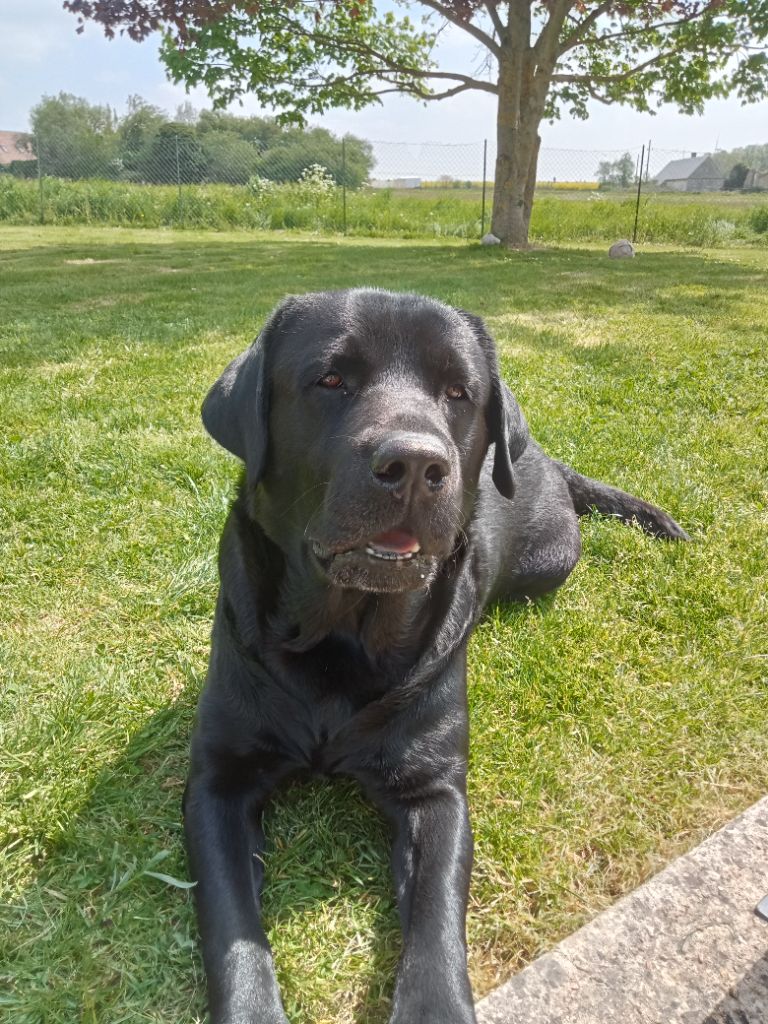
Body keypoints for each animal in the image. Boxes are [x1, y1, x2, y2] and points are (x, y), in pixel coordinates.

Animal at [183, 290, 688, 1024]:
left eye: (458, 393)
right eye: (330, 380)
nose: (416, 466)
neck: (345, 638)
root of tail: (546, 457)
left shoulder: (436, 790)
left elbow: (436, 923)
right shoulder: (217, 782)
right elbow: (234, 934)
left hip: (549, 562)